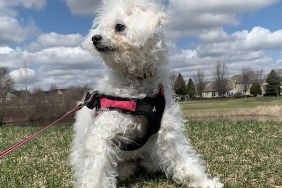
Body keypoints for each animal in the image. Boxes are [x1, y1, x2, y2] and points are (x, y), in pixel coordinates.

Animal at [70, 0, 223, 187]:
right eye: (101, 27)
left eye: (119, 27)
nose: (94, 38)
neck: (138, 88)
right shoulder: (103, 135)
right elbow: (96, 172)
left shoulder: (167, 133)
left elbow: (184, 160)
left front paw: (204, 181)